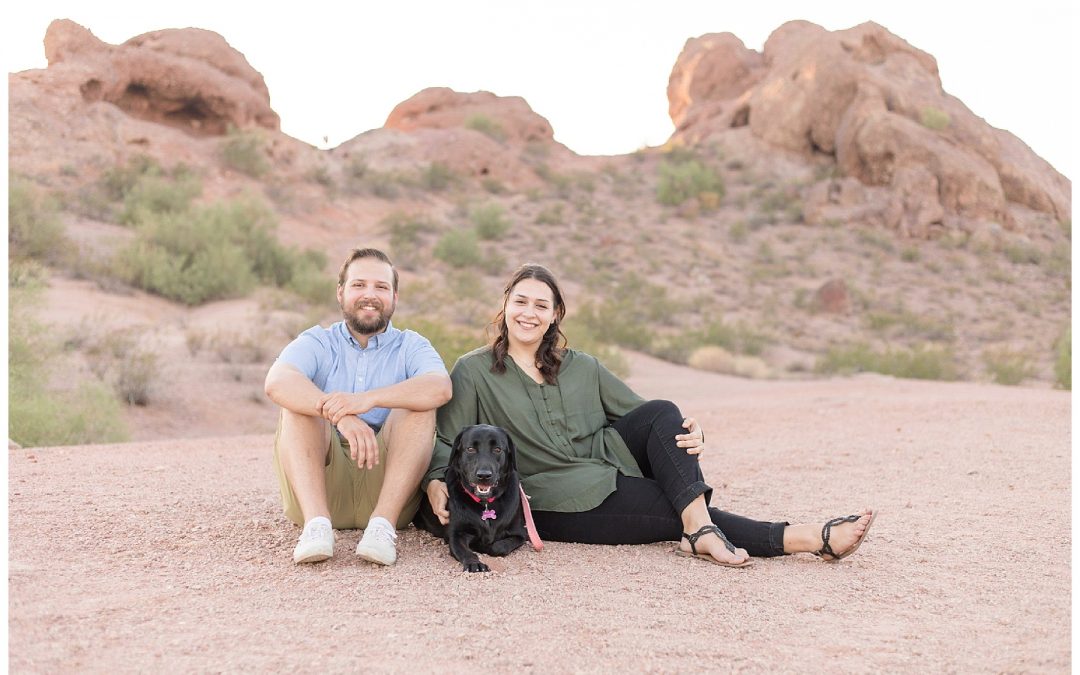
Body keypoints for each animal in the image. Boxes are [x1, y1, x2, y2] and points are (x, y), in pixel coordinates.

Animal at [412, 423, 527, 570]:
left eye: (497, 449)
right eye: (470, 449)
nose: (484, 475)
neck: (485, 504)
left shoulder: (520, 534)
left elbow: (499, 547)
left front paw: (483, 545)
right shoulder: (456, 535)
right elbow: (465, 551)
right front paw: (474, 563)